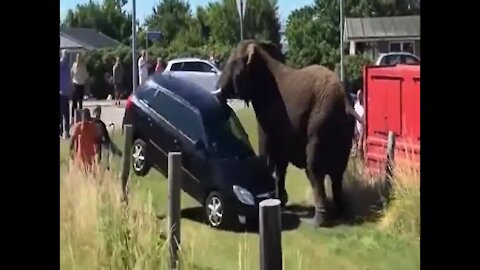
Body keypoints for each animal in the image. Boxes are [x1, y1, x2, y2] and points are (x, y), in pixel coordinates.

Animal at [216, 39, 362, 227]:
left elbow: (268, 151)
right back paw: (341, 214)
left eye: (232, 63)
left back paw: (318, 221)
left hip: (321, 122)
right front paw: (281, 201)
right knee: (338, 173)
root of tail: (345, 99)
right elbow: (280, 162)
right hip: (343, 130)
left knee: (314, 169)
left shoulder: (269, 111)